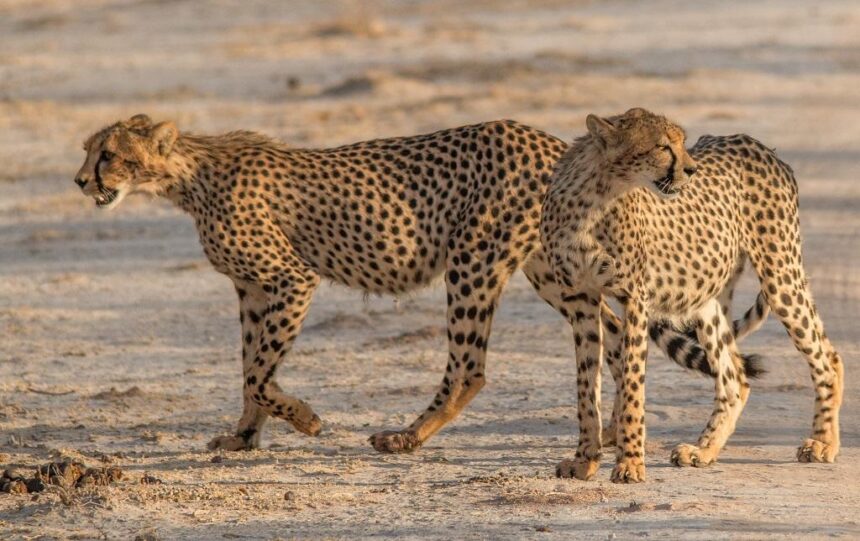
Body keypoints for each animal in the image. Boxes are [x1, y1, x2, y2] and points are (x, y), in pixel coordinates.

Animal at [74, 113, 760, 452]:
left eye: (108, 154)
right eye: (88, 149)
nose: (81, 180)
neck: (184, 177)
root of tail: (544, 137)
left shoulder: (290, 279)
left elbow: (260, 374)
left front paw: (306, 420)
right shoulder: (251, 291)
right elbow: (250, 368)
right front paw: (244, 437)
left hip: (474, 262)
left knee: (470, 368)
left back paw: (407, 435)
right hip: (549, 269)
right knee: (615, 333)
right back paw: (614, 431)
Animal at [540, 107, 844, 484]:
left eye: (682, 143)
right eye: (662, 146)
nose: (691, 170)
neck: (596, 197)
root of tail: (756, 143)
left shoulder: (634, 298)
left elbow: (632, 383)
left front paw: (630, 463)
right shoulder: (580, 300)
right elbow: (586, 386)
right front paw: (584, 460)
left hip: (780, 274)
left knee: (828, 357)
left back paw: (823, 442)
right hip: (706, 300)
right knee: (734, 378)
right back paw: (704, 450)